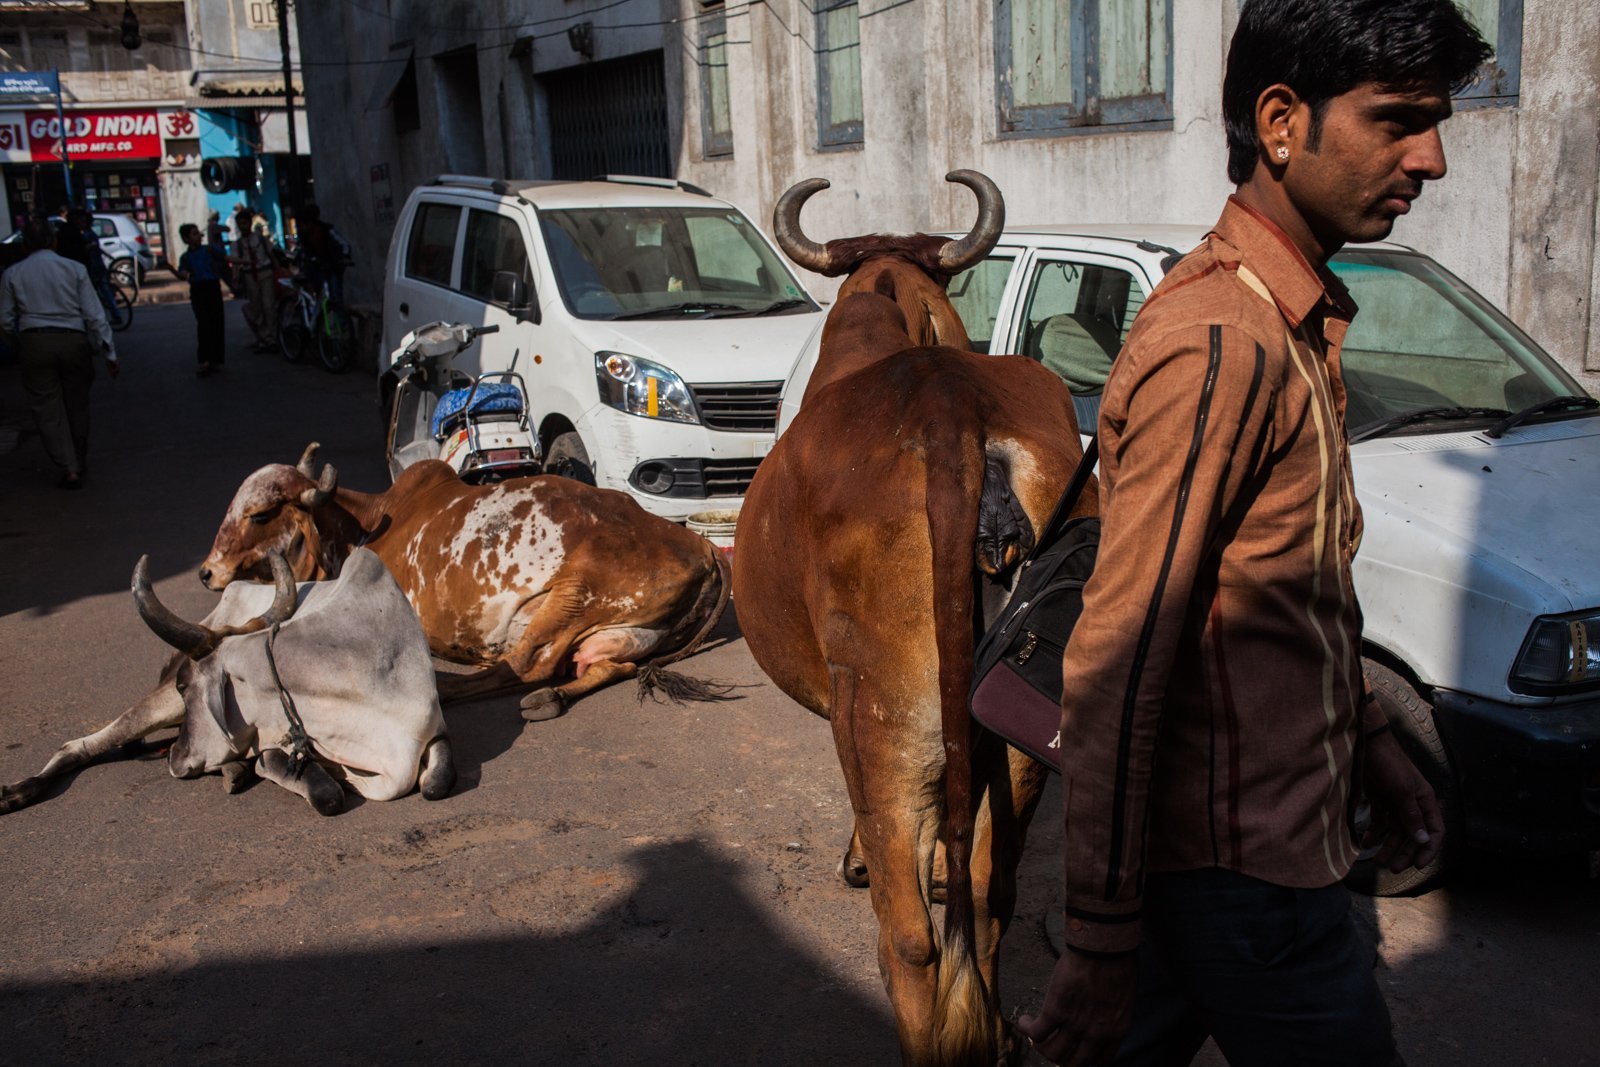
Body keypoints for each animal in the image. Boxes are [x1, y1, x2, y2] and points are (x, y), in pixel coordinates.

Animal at [0, 550, 454, 819]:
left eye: (187, 686)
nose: (176, 759)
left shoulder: (433, 732)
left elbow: (434, 784)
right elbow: (326, 793)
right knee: (79, 745)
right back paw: (18, 792)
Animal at [196, 447, 732, 716]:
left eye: (261, 514)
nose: (206, 572)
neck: (369, 523)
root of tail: (701, 546)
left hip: (573, 593)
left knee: (525, 667)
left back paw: (453, 689)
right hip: (608, 631)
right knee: (603, 667)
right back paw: (551, 698)